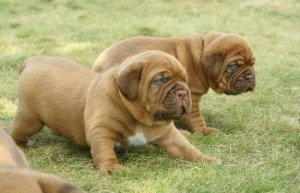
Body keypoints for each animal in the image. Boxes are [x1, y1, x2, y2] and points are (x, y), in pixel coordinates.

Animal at [9, 51, 220, 173]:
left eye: (184, 79)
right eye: (160, 80)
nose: (183, 92)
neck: (141, 119)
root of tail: (34, 60)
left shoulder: (168, 134)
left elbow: (186, 149)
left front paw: (205, 159)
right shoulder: (101, 132)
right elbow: (105, 152)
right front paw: (112, 168)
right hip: (29, 119)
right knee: (17, 132)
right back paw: (18, 148)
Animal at [93, 31, 255, 134]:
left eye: (252, 64)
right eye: (233, 65)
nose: (249, 76)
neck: (200, 54)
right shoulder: (192, 95)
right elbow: (196, 117)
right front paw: (204, 131)